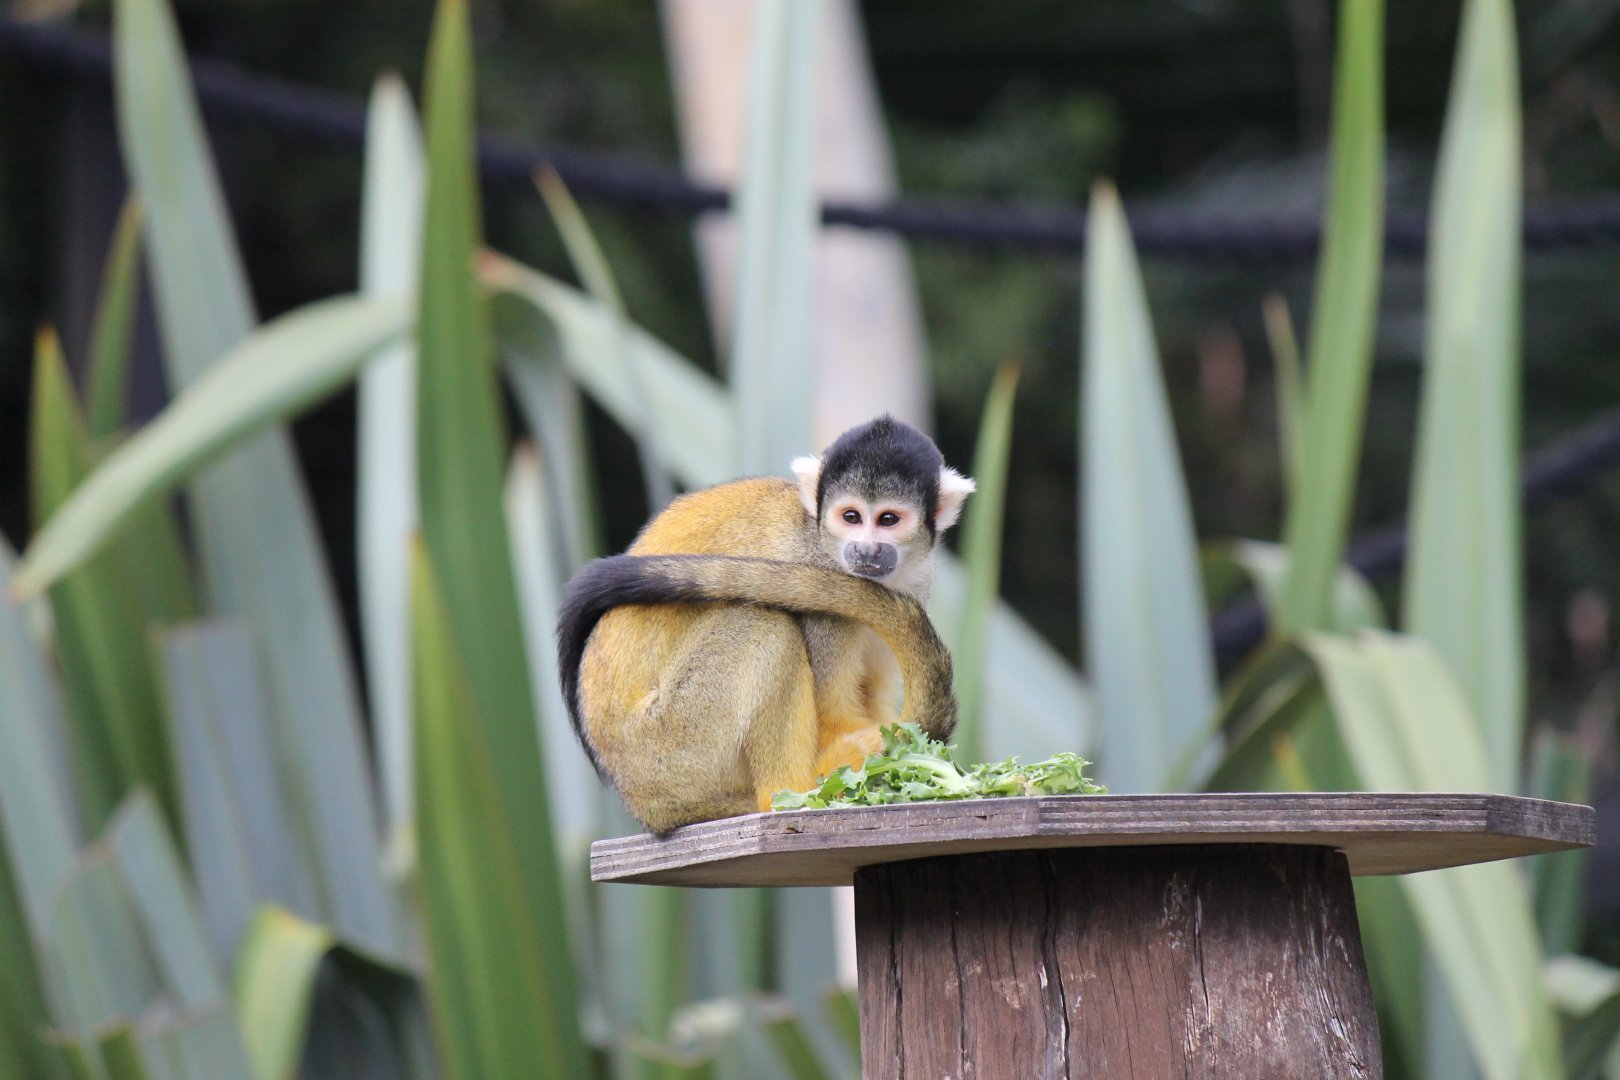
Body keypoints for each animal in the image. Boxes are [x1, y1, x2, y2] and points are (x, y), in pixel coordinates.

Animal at [557, 415, 975, 833]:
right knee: (763, 623)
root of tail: (651, 809)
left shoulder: (914, 586)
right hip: (669, 749)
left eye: (888, 519)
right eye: (851, 517)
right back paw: (795, 790)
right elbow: (835, 716)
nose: (865, 550)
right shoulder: (824, 594)